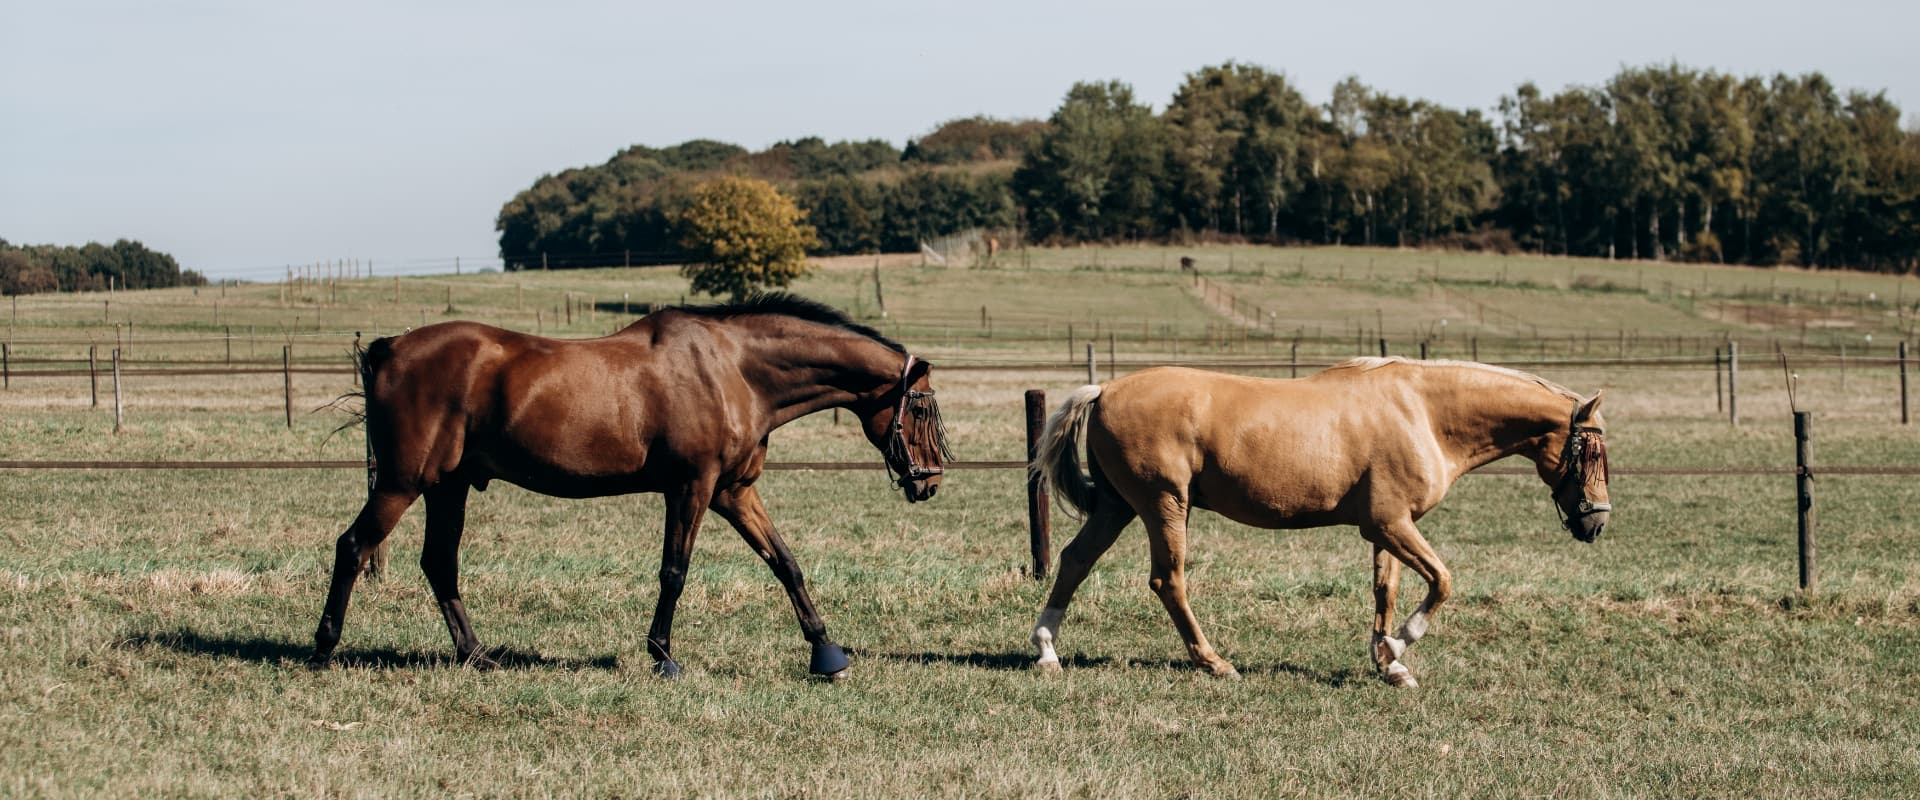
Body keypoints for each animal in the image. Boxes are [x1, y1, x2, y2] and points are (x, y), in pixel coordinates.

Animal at [306, 294, 951, 681]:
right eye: (921, 408)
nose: (930, 482)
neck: (734, 370)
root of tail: (391, 348)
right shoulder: (692, 488)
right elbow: (675, 573)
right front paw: (663, 657)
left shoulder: (734, 493)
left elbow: (786, 564)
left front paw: (827, 653)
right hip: (402, 483)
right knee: (353, 547)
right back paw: (322, 649)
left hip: (449, 486)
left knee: (439, 562)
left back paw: (476, 655)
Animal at [1027, 358, 1611, 687]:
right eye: (1592, 451)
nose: (1597, 524)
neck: (1423, 413)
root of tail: (1104, 391)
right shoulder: (1391, 525)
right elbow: (1442, 582)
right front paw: (1400, 646)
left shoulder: (1386, 527)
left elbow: (1386, 591)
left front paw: (1388, 663)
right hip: (1165, 505)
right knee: (1167, 580)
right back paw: (1214, 662)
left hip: (1118, 506)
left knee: (1074, 562)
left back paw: (1047, 651)